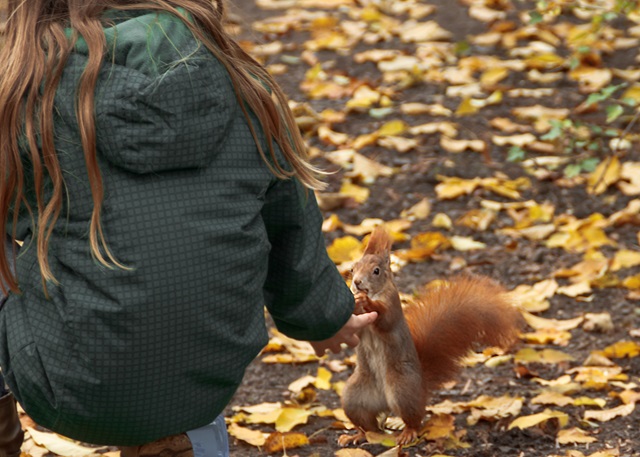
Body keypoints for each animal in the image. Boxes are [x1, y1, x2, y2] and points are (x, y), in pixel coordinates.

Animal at [338, 228, 524, 446]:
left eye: (376, 271)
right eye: (352, 268)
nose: (357, 283)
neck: (377, 292)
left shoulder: (392, 304)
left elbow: (385, 319)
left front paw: (366, 302)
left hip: (403, 390)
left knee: (413, 419)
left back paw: (407, 433)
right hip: (354, 398)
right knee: (370, 427)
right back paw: (356, 435)